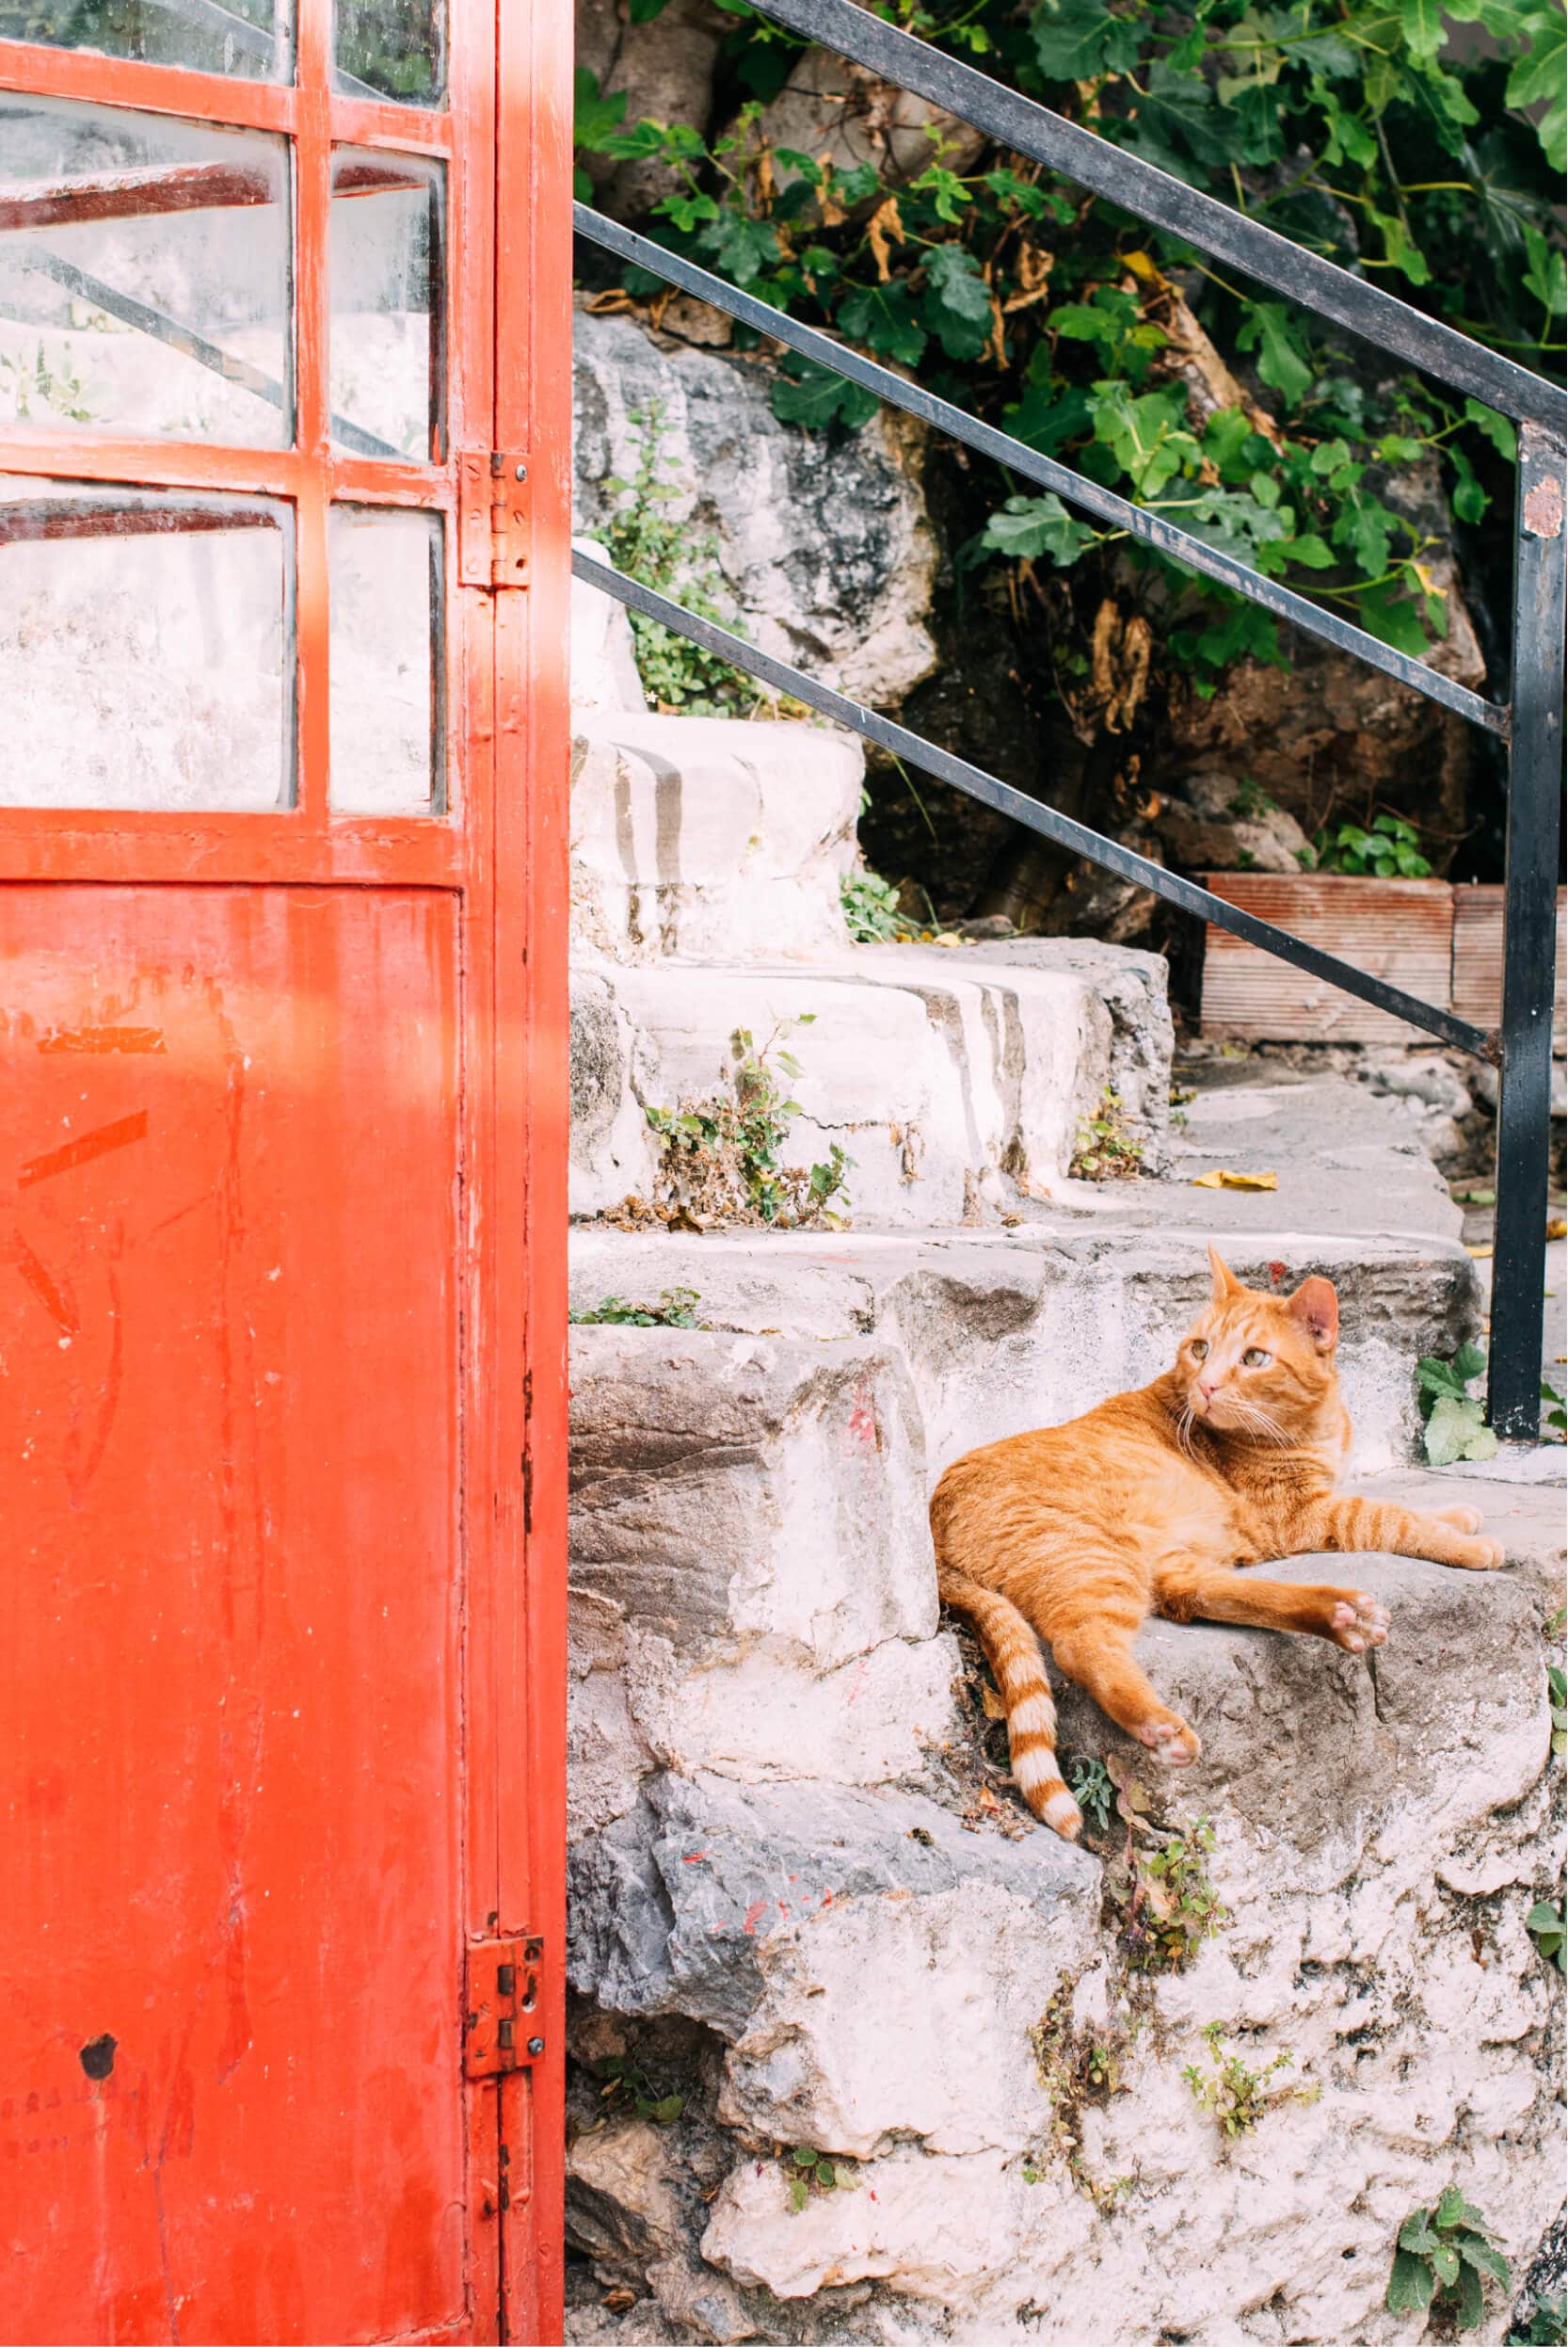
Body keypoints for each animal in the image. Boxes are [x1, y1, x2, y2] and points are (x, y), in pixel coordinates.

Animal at [929, 1248, 1502, 1830]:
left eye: (1254, 1358)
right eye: (1201, 1348)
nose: (1205, 1386)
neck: (1315, 1424)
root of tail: (932, 1523)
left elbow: (1407, 1507)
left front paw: (1459, 1515)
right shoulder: (1305, 1515)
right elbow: (1392, 1518)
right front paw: (1469, 1545)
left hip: (1154, 1562)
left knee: (1204, 1596)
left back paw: (1341, 1615)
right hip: (1094, 1557)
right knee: (1081, 1644)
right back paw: (1159, 1724)